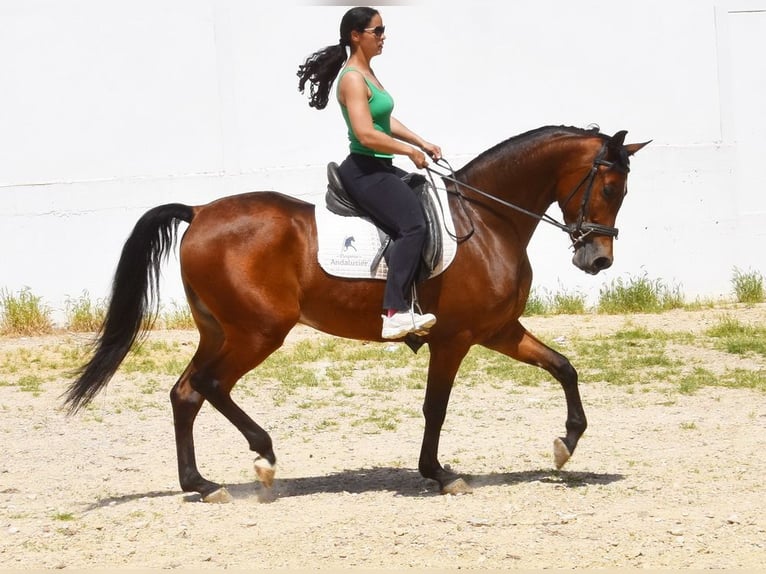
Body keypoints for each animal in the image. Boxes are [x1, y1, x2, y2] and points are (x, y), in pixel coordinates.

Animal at [64, 125, 649, 502]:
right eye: (610, 186)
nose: (597, 259)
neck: (486, 220)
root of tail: (200, 210)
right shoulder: (455, 338)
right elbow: (435, 408)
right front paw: (439, 473)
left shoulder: (499, 330)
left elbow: (563, 366)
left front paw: (566, 443)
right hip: (258, 333)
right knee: (210, 385)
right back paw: (263, 457)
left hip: (221, 331)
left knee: (186, 392)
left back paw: (203, 485)